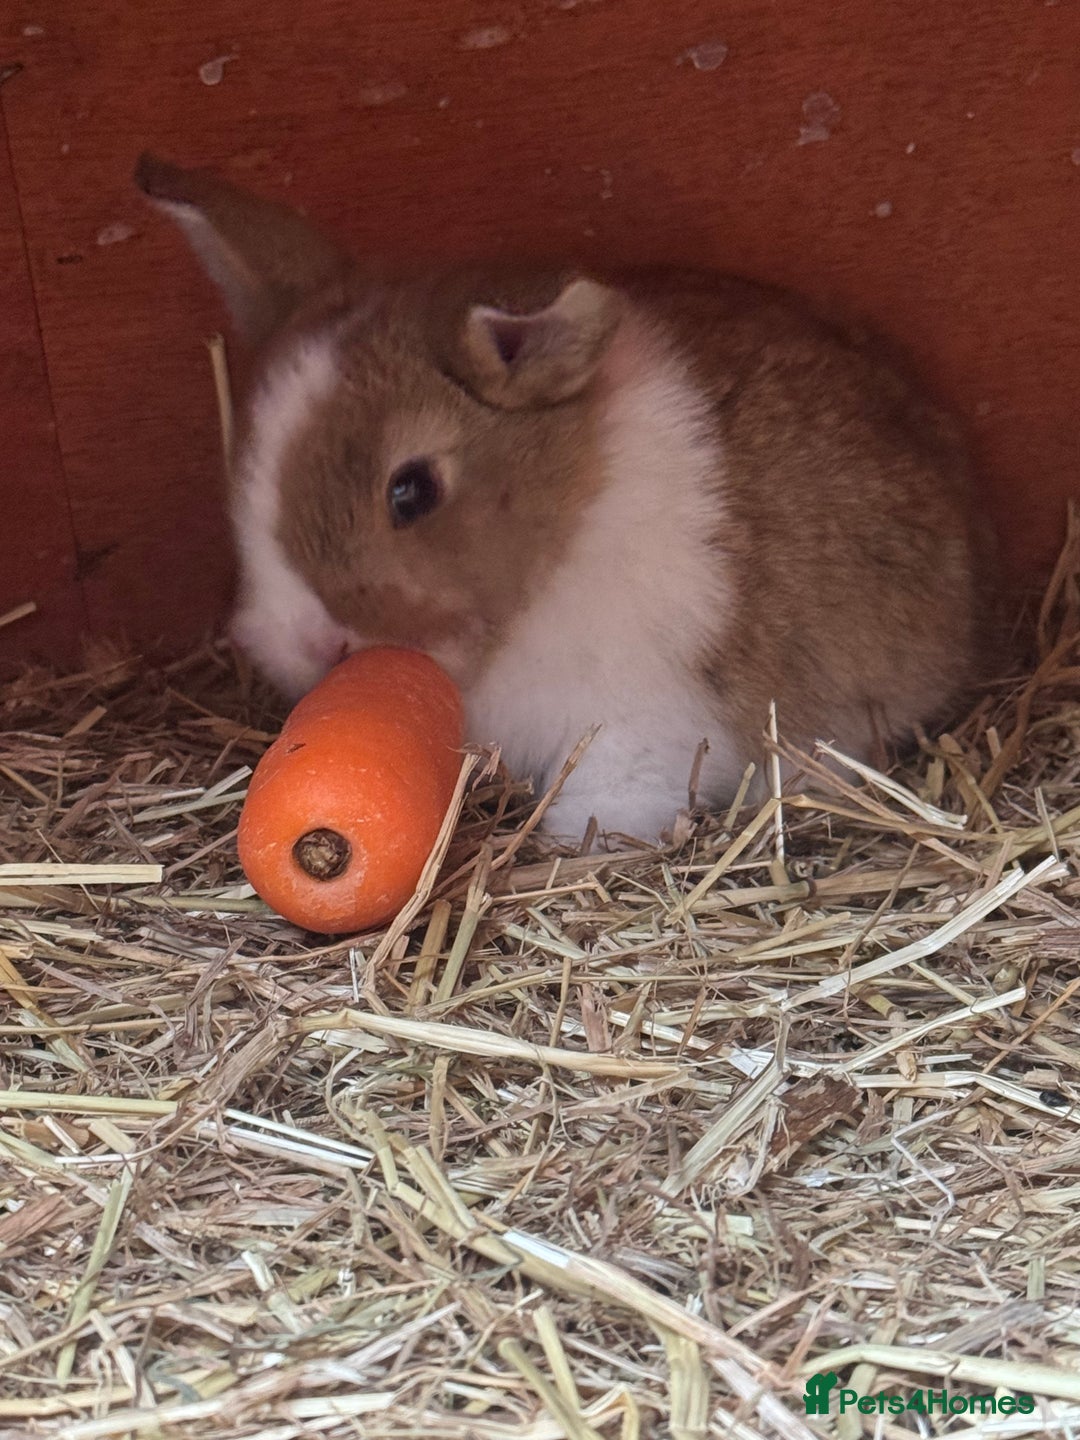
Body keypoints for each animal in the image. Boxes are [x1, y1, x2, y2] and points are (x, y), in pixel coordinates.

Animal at [135, 153, 996, 843]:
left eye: (411, 491)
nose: (310, 645)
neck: (565, 525)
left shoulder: (646, 725)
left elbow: (610, 801)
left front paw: (558, 853)